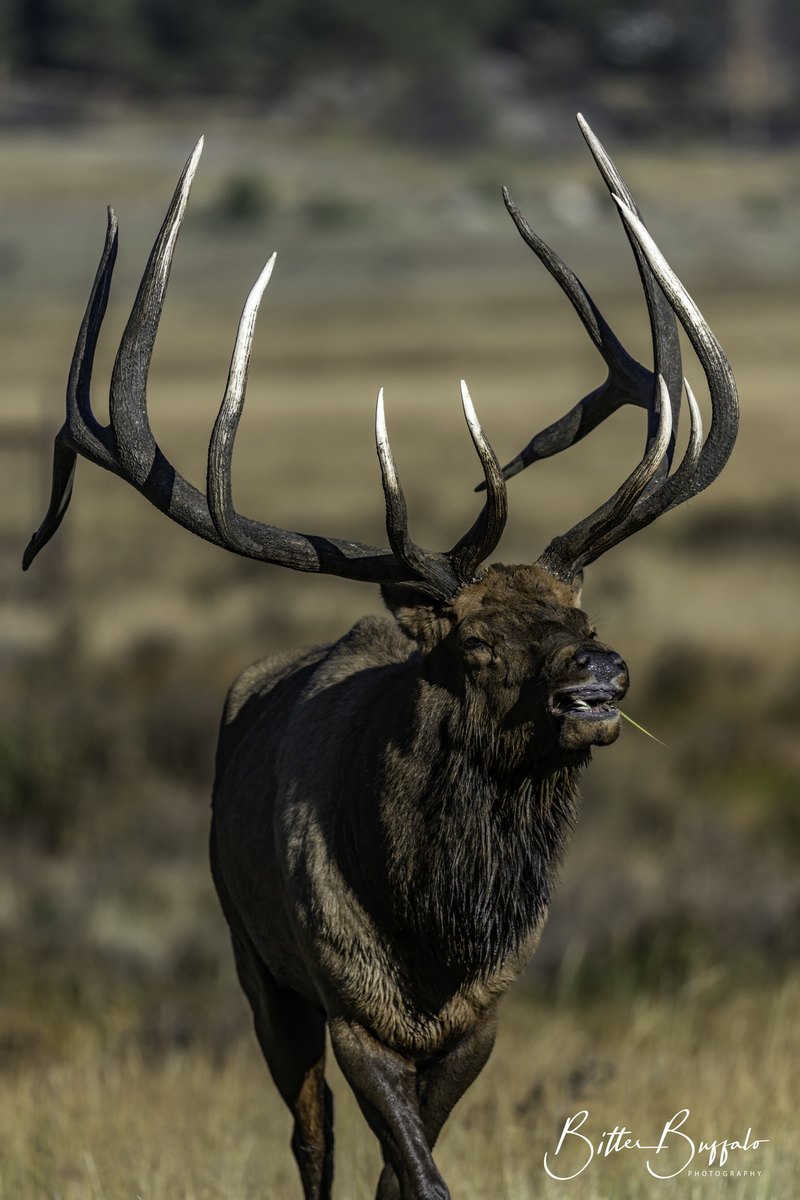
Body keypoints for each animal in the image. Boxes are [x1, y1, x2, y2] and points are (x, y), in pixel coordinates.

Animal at [23, 116, 737, 1200]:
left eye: (583, 620)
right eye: (474, 646)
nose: (598, 684)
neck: (434, 935)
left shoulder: (481, 1020)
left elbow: (409, 1174)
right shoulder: (349, 1007)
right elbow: (409, 1170)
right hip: (256, 962)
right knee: (308, 1137)